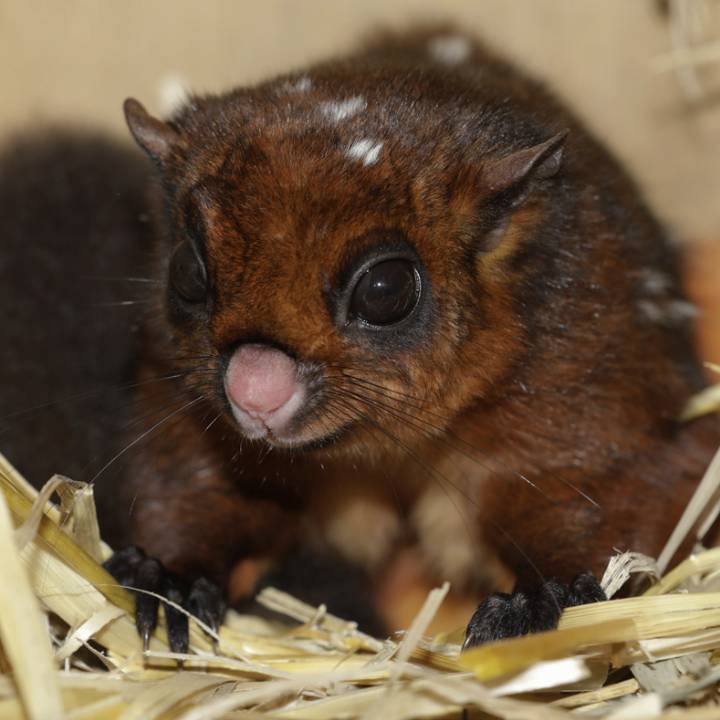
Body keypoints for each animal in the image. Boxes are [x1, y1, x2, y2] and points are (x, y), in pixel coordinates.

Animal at [2, 27, 718, 651]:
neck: (380, 446)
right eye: (188, 270)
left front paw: (548, 597)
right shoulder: (180, 400)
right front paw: (168, 577)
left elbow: (621, 486)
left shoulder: (582, 370)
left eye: (385, 288)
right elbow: (192, 481)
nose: (252, 392)